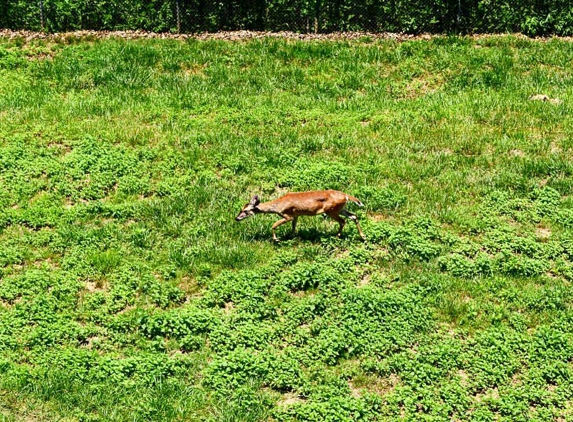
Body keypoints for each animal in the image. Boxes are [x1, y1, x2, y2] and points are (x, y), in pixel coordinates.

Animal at [236, 190, 366, 242]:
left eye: (246, 211)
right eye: (241, 209)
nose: (236, 218)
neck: (277, 205)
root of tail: (346, 196)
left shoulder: (287, 215)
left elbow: (273, 225)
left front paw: (276, 239)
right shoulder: (296, 215)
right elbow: (293, 228)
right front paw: (292, 237)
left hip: (331, 210)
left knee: (343, 221)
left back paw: (337, 236)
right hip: (340, 208)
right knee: (353, 216)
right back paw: (363, 236)